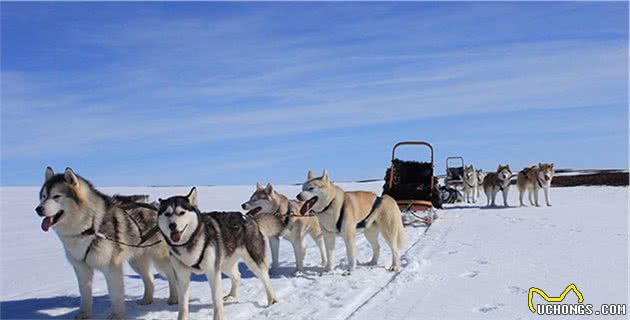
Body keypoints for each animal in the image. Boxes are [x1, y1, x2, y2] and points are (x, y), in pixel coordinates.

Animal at [35, 168, 177, 320]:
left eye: (56, 196)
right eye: (43, 196)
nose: (38, 209)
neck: (88, 227)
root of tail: (157, 206)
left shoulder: (111, 267)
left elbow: (115, 294)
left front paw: (116, 315)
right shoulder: (81, 268)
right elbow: (85, 294)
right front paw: (84, 314)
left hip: (160, 257)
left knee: (172, 275)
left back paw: (174, 298)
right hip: (137, 260)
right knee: (149, 278)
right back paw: (147, 299)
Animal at [157, 188, 276, 320]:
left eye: (181, 212)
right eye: (167, 214)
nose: (172, 225)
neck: (189, 242)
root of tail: (248, 217)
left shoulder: (213, 272)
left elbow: (216, 301)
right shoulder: (182, 275)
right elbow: (183, 304)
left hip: (253, 260)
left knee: (265, 277)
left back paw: (272, 300)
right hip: (225, 264)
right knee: (237, 275)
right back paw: (232, 296)